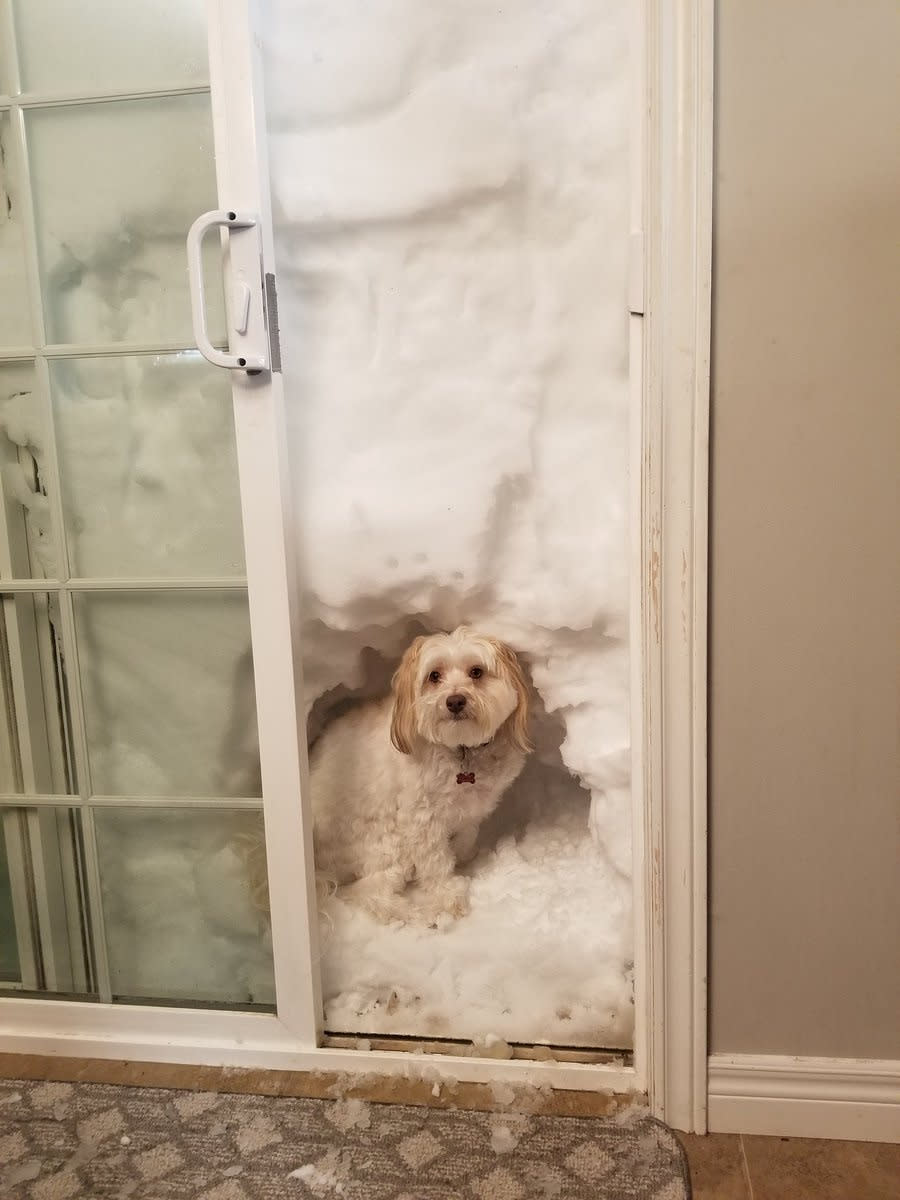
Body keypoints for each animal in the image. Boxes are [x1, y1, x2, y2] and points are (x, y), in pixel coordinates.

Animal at [314, 633, 532, 921]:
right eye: (434, 676)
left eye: (477, 672)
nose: (455, 701)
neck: (461, 750)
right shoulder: (421, 818)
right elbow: (435, 861)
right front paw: (449, 896)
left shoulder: (472, 809)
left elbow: (465, 836)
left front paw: (465, 857)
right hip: (386, 843)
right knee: (367, 890)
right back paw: (413, 914)